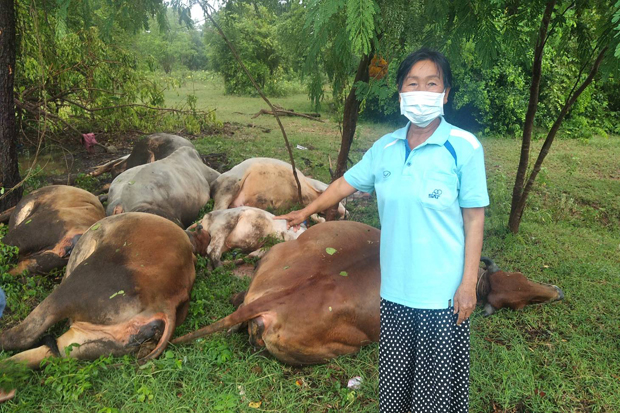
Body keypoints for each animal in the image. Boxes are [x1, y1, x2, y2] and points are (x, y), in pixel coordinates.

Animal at [173, 222, 560, 364]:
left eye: (521, 277)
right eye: (518, 302)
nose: (556, 290)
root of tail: (270, 300)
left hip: (276, 255)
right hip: (342, 347)